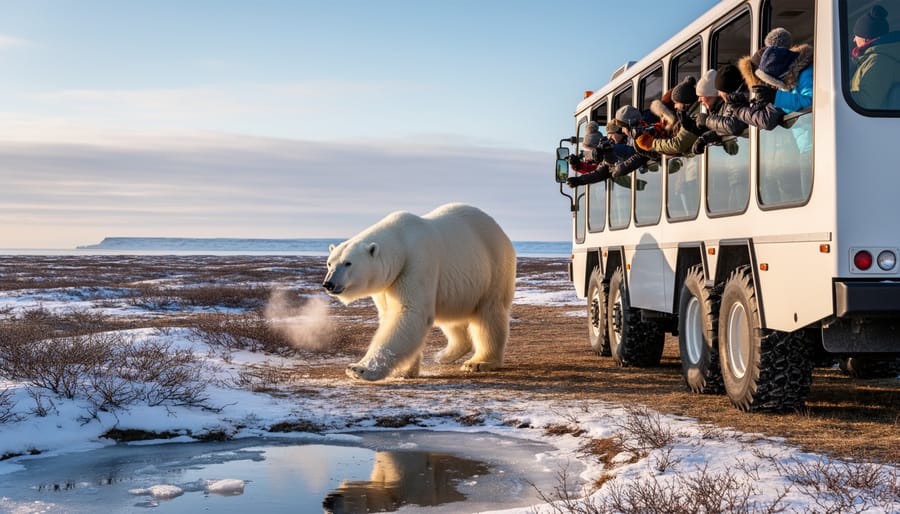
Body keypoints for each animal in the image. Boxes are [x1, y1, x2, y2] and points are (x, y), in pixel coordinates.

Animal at [322, 203, 516, 381]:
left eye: (348, 263)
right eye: (329, 262)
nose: (328, 283)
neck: (401, 242)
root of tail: (499, 228)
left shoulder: (417, 262)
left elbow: (408, 313)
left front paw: (359, 369)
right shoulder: (388, 283)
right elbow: (391, 315)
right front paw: (403, 371)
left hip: (494, 266)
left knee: (488, 314)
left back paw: (478, 362)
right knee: (451, 317)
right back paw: (444, 355)